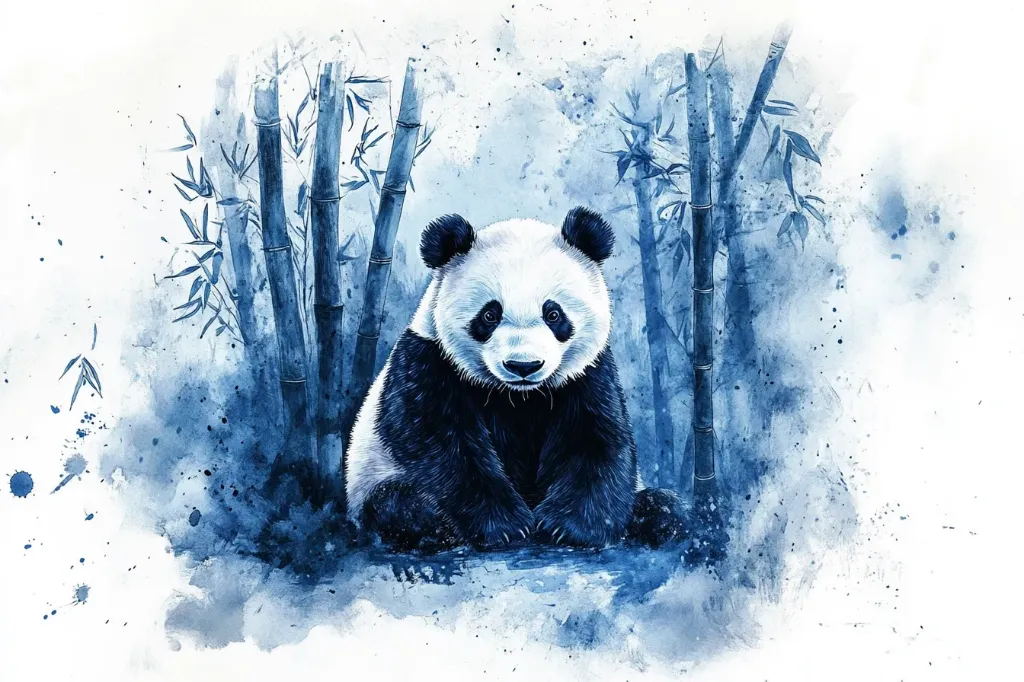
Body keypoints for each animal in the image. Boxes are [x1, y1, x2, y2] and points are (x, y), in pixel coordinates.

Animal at [345, 206, 687, 552]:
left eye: (553, 314)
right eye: (489, 315)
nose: (524, 365)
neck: (518, 396)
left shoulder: (587, 376)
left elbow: (596, 439)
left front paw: (570, 527)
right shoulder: (427, 362)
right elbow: (441, 443)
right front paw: (506, 526)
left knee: (663, 504)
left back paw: (659, 518)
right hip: (371, 475)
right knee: (393, 503)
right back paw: (432, 526)